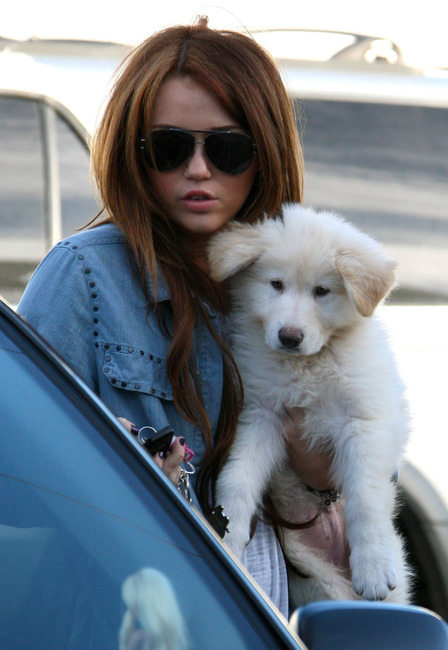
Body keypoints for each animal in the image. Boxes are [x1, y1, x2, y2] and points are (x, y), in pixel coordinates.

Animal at [208, 202, 412, 604]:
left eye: (322, 291)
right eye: (276, 284)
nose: (289, 337)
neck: (310, 364)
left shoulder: (363, 422)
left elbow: (366, 498)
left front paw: (373, 568)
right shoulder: (261, 414)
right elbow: (237, 479)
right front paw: (228, 534)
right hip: (315, 577)